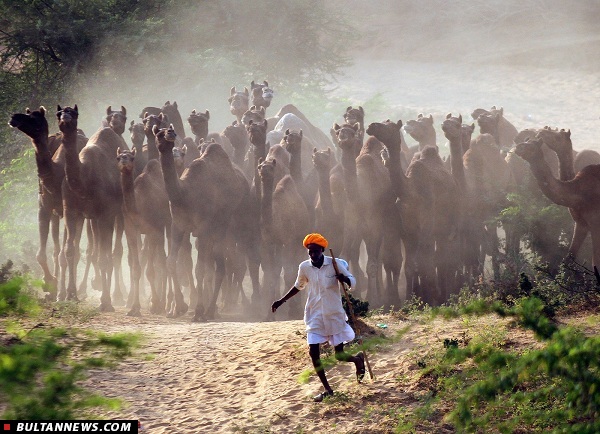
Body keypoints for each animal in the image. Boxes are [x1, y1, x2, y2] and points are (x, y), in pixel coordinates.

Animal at [512, 138, 600, 274]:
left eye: (532, 146)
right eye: (526, 141)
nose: (518, 147)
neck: (578, 192)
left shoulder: (596, 223)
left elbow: (595, 263)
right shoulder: (581, 223)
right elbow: (569, 258)